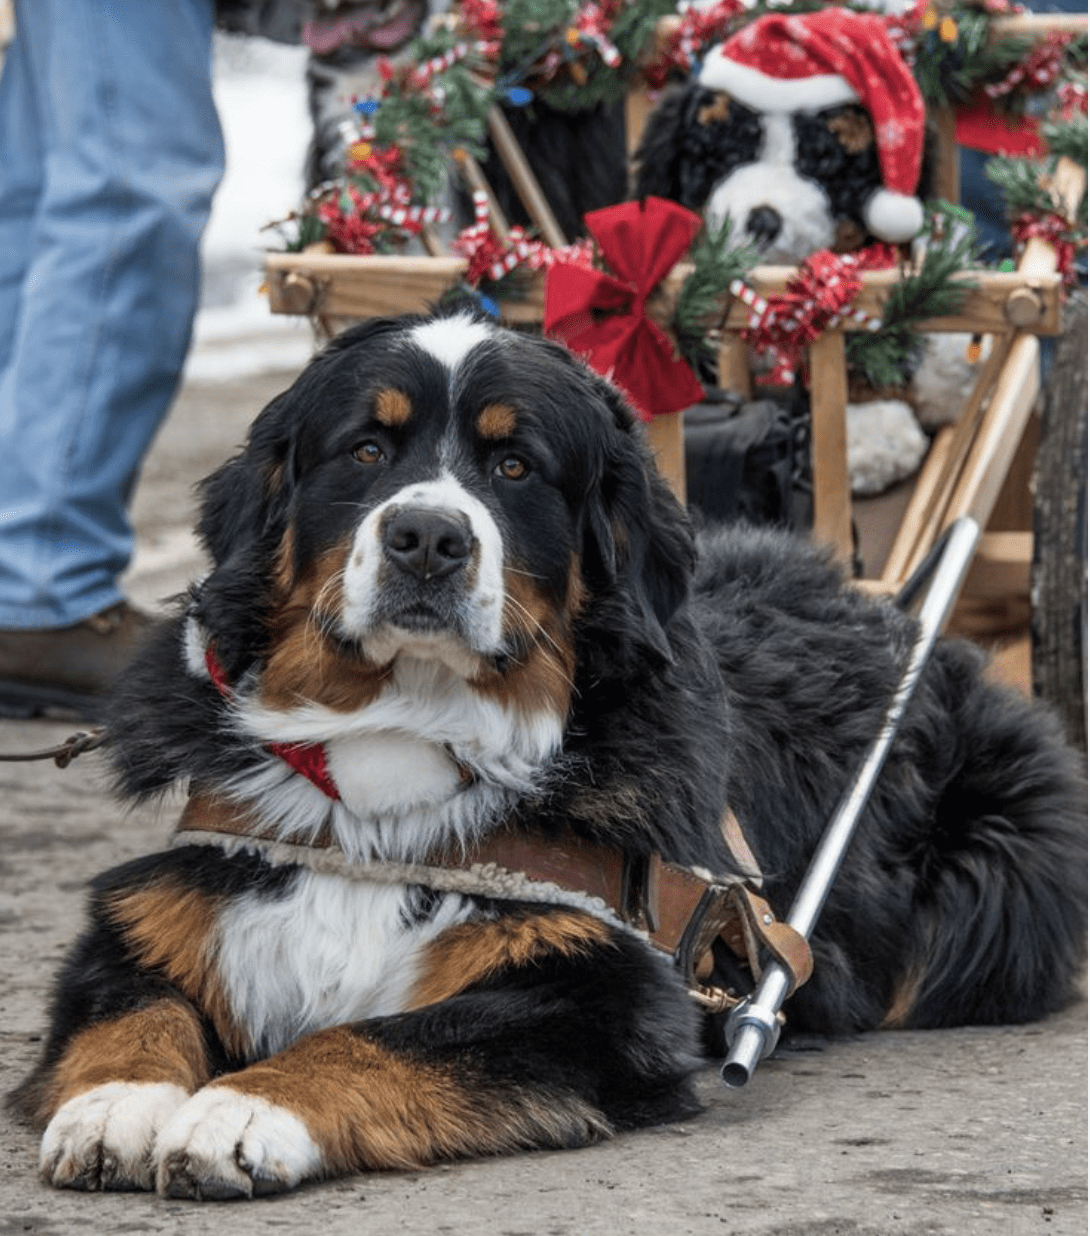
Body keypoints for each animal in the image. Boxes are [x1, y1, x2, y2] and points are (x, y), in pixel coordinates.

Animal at [10, 309, 1087, 1196]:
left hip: (992, 876)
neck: (395, 760)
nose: (426, 536)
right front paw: (115, 1105)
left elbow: (384, 1037)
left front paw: (241, 1110)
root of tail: (900, 610)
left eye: (515, 467)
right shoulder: (160, 912)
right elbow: (133, 1012)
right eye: (365, 449)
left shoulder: (598, 992)